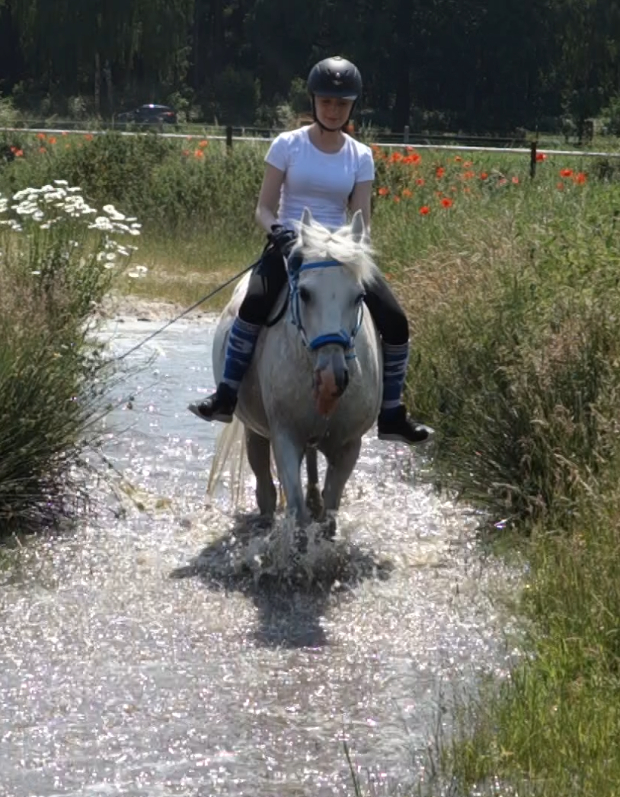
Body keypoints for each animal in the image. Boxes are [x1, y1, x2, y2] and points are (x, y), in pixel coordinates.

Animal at [210, 208, 382, 538]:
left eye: (358, 296)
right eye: (304, 293)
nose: (330, 379)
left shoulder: (348, 446)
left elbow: (330, 513)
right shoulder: (285, 438)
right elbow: (298, 514)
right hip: (255, 430)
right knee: (265, 486)